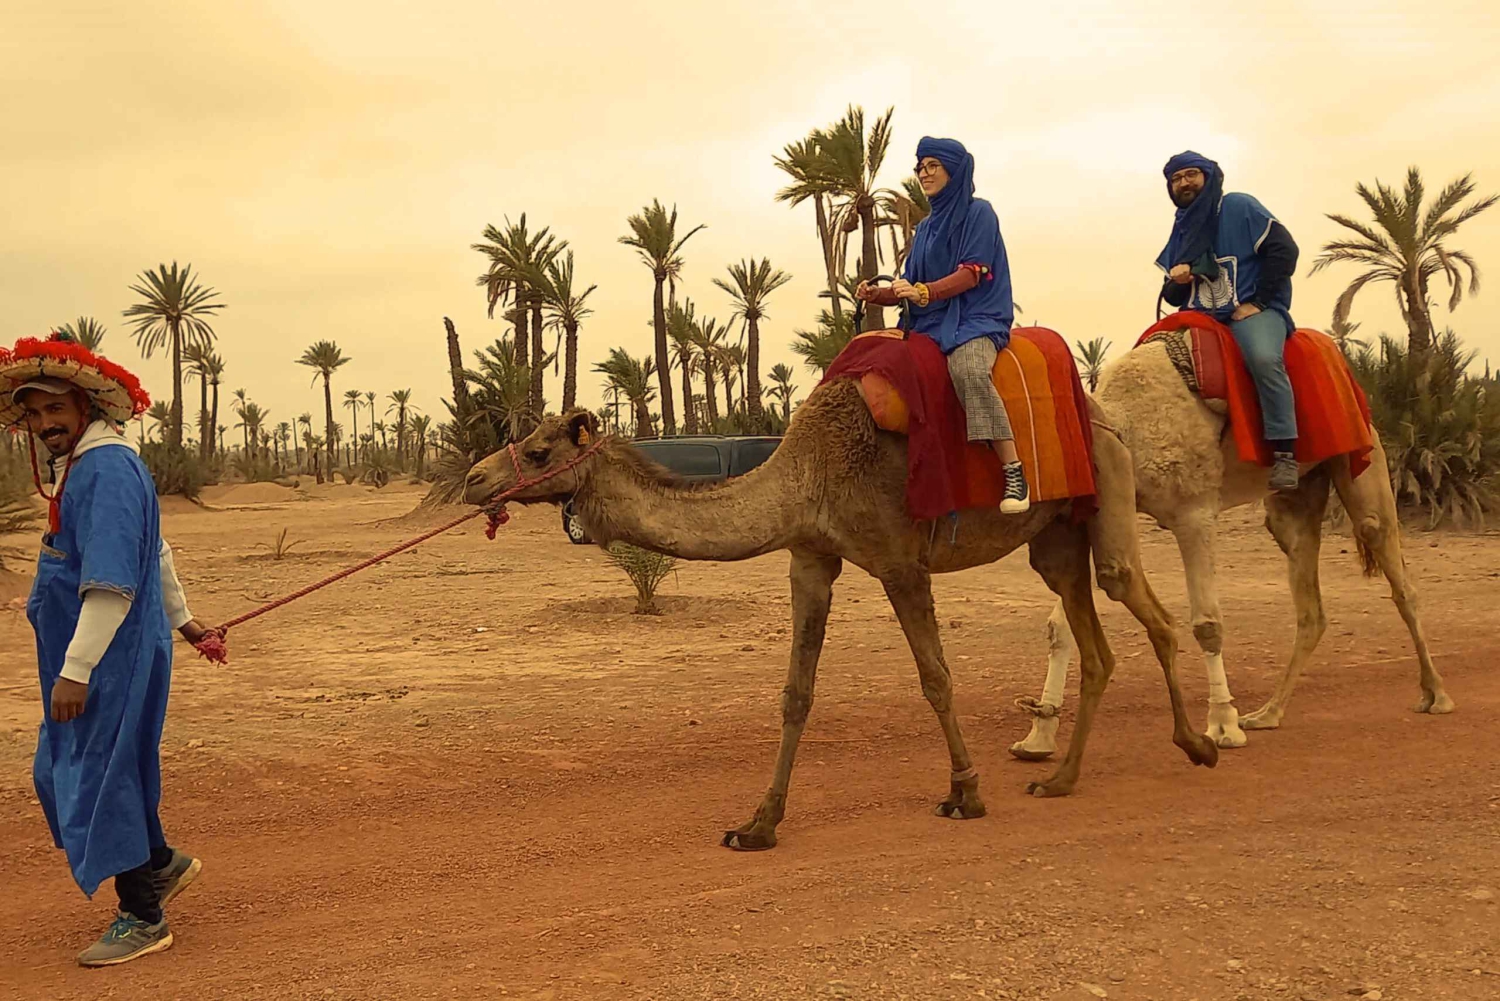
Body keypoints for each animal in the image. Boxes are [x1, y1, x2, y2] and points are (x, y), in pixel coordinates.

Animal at [464, 379, 1219, 852]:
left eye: (538, 448)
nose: (474, 478)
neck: (807, 473)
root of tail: (1103, 415)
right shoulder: (810, 556)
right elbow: (796, 693)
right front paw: (757, 824)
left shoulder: (900, 561)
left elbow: (936, 679)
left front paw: (965, 793)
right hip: (1056, 536)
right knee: (1096, 645)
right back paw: (1060, 778)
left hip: (1109, 489)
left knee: (1146, 607)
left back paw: (1198, 744)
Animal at [1008, 333, 1455, 762]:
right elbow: (1061, 628)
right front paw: (1037, 737)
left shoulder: (1194, 513)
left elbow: (1207, 623)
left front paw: (1223, 726)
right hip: (1293, 499)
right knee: (1310, 605)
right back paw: (1268, 713)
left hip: (1363, 458)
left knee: (1392, 566)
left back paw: (1436, 695)